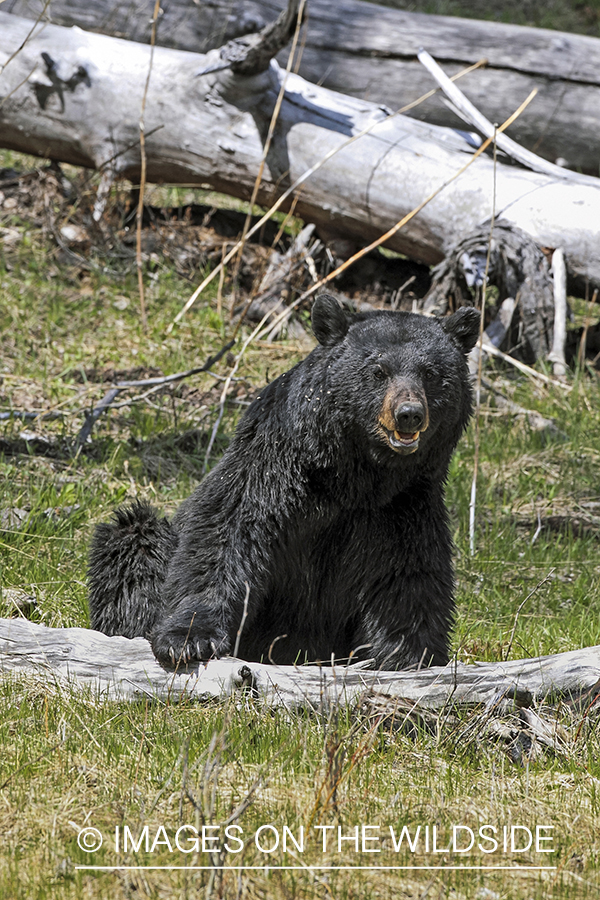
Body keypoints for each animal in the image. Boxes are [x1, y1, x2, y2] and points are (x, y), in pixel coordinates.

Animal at [88, 293, 481, 671]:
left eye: (430, 373)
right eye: (378, 371)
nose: (409, 414)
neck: (355, 478)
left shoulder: (404, 504)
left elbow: (407, 577)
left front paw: (408, 655)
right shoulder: (272, 468)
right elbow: (225, 534)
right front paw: (188, 639)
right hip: (144, 544)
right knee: (133, 542)